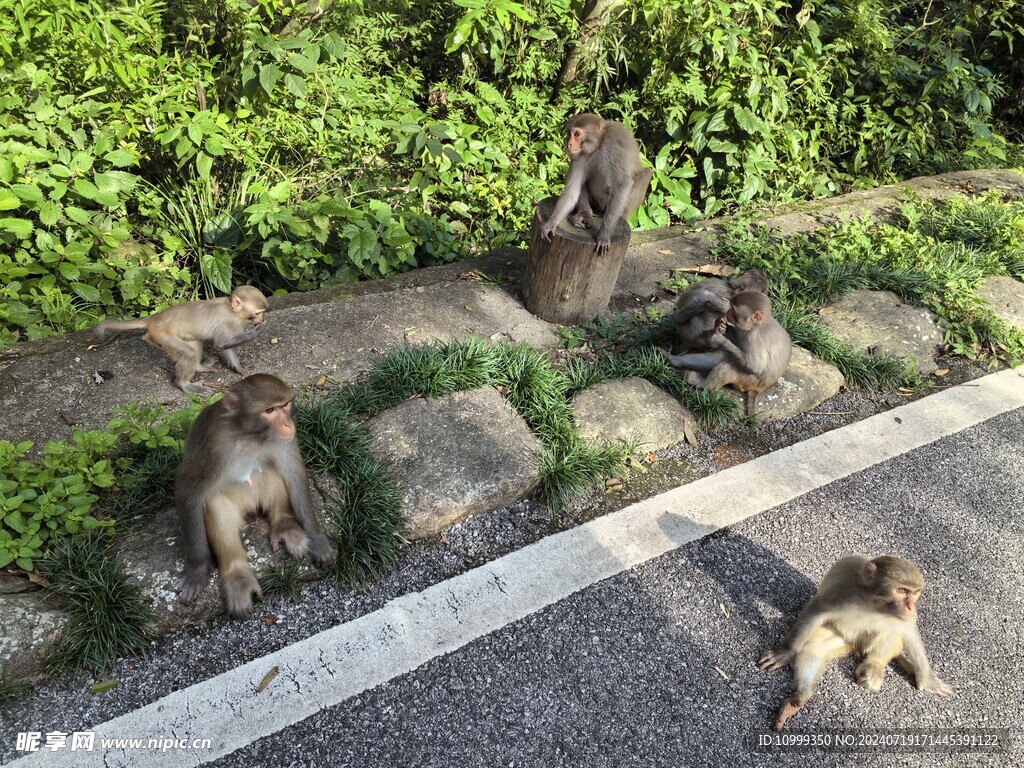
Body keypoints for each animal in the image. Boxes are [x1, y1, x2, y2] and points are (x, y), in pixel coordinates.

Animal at [94, 286, 268, 397]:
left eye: (262, 312)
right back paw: (184, 384)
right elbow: (220, 344)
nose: (262, 318)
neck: (232, 310)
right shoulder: (229, 323)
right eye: (257, 313)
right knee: (188, 353)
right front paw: (256, 332)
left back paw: (199, 367)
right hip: (161, 335)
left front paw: (239, 368)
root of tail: (154, 319)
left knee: (195, 343)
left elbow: (225, 347)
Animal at [176, 372, 335, 618]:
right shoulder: (215, 446)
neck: (251, 435)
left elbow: (293, 472)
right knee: (212, 501)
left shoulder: (283, 440)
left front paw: (316, 537)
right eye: (270, 410)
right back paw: (238, 575)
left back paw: (284, 525)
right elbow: (188, 490)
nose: (287, 423)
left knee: (270, 466)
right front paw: (197, 568)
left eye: (285, 405)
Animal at [540, 112, 651, 256]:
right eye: (569, 133)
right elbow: (573, 191)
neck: (598, 145)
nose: (569, 144)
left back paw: (615, 216)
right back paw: (584, 214)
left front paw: (604, 234)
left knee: (646, 174)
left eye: (577, 134)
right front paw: (551, 223)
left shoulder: (614, 145)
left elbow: (623, 184)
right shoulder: (579, 155)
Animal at [659, 290, 794, 421]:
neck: (756, 325)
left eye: (733, 311)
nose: (728, 312)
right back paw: (673, 359)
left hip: (750, 380)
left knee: (730, 366)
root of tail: (760, 388)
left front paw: (718, 338)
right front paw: (720, 324)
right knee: (721, 358)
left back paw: (704, 384)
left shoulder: (754, 338)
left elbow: (755, 366)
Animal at [761, 557, 950, 729]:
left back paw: (874, 665)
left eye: (915, 593)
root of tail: (856, 645)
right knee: (815, 648)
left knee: (891, 629)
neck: (874, 604)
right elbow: (817, 611)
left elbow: (909, 632)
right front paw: (785, 652)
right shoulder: (845, 592)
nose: (911, 606)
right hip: (840, 637)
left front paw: (927, 680)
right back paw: (801, 695)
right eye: (902, 590)